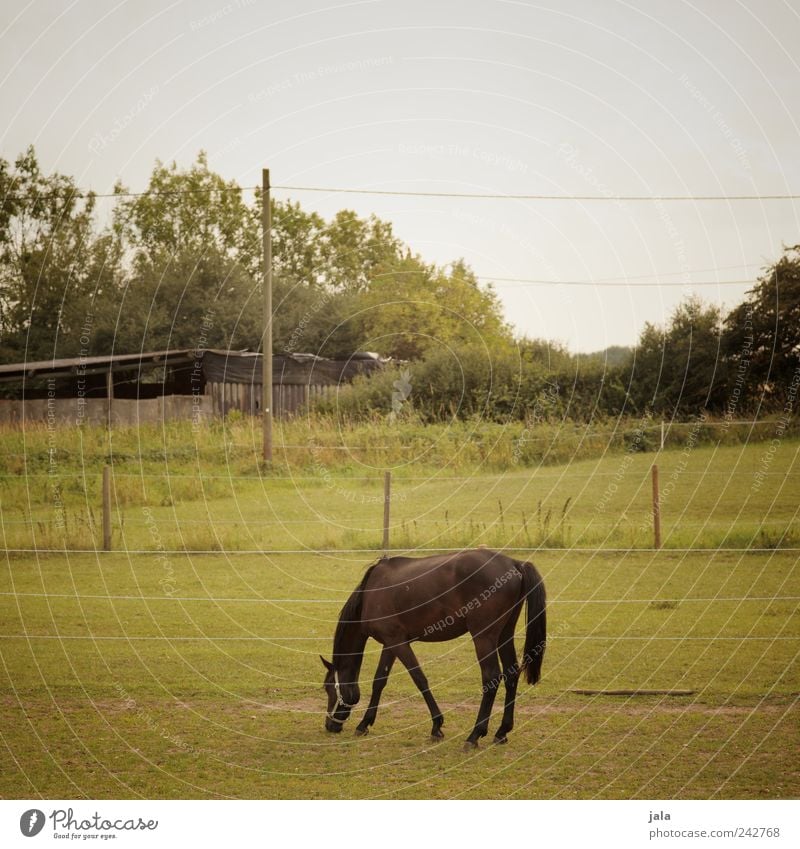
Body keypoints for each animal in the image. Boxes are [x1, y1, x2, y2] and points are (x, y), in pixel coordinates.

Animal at [322, 548, 548, 744]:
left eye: (328, 688)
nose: (330, 726)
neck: (371, 591)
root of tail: (514, 563)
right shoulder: (391, 643)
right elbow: (379, 680)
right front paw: (364, 723)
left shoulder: (398, 643)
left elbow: (419, 678)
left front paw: (436, 725)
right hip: (503, 636)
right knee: (511, 674)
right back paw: (502, 731)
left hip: (484, 638)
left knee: (491, 677)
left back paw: (475, 734)